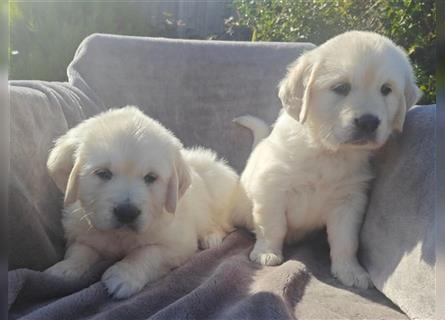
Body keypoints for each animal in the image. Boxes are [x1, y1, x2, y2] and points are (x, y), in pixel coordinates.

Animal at [45, 106, 239, 298]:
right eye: (103, 173)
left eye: (151, 178)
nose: (126, 213)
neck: (120, 235)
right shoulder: (80, 231)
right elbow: (80, 249)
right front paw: (64, 268)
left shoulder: (179, 242)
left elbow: (148, 252)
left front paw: (125, 275)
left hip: (218, 191)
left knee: (224, 224)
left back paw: (210, 237)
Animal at [236, 31, 420, 288]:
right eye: (341, 88)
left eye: (386, 89)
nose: (368, 122)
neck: (328, 151)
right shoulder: (272, 188)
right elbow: (272, 225)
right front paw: (266, 252)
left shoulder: (349, 200)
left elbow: (346, 241)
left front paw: (349, 270)